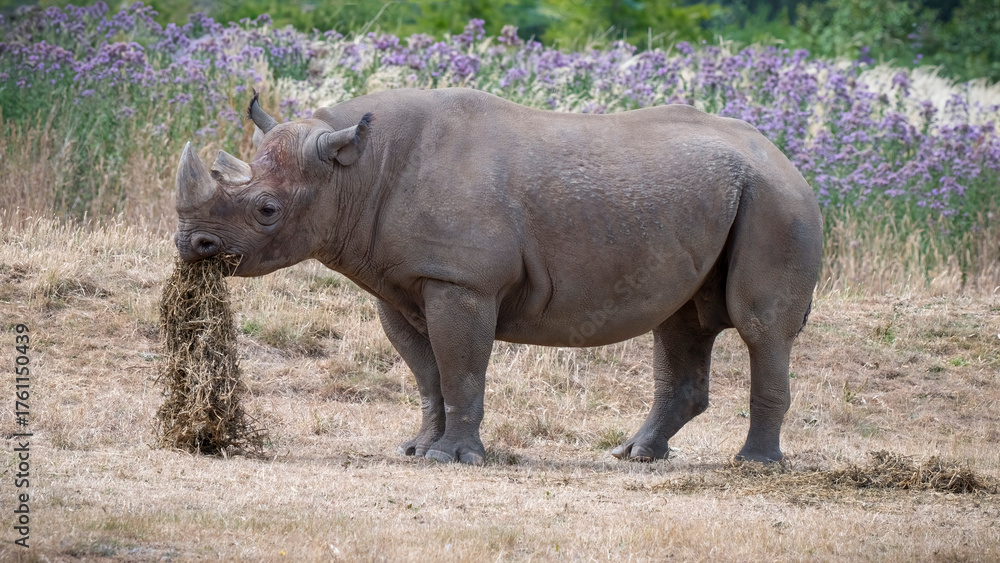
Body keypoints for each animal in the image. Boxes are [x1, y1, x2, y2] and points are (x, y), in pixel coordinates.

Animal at [174, 88, 822, 465]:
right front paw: (417, 449)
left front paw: (452, 459)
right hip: (718, 199)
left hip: (778, 203)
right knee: (682, 322)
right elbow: (428, 374)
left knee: (761, 327)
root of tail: (787, 158)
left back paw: (754, 465)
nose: (191, 246)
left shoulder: (462, 281)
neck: (353, 171)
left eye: (268, 210)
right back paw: (636, 455)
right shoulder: (400, 281)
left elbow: (461, 368)